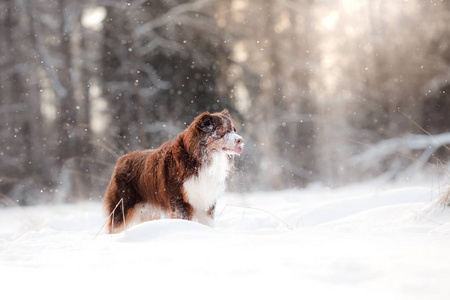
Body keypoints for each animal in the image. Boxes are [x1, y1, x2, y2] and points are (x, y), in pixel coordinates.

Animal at [103, 109, 243, 232]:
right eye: (221, 130)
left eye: (233, 129)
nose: (240, 140)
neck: (199, 159)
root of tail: (121, 160)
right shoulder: (179, 200)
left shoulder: (207, 201)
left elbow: (207, 223)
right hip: (122, 206)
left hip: (149, 211)